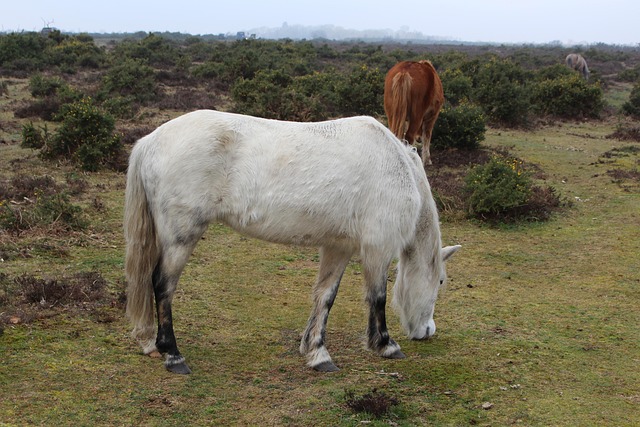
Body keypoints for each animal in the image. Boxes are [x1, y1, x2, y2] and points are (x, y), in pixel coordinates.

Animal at [124, 110, 460, 374]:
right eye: (441, 281)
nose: (428, 331)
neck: (395, 165)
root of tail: (151, 141)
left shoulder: (339, 247)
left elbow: (325, 296)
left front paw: (316, 352)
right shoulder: (377, 249)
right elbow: (377, 297)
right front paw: (386, 345)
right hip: (181, 237)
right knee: (162, 285)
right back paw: (173, 355)